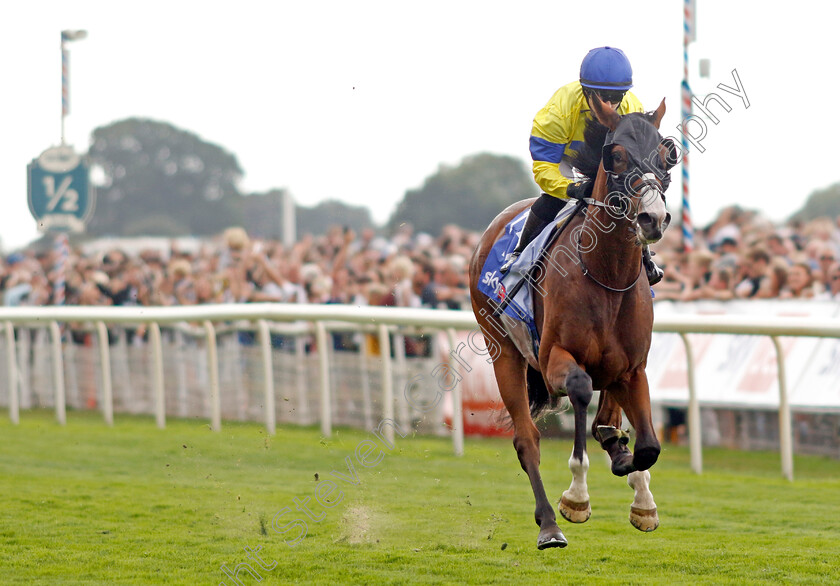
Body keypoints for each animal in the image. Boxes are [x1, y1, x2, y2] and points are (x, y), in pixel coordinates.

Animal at [466, 93, 676, 544]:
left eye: (666, 155)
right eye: (616, 156)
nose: (652, 218)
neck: (606, 274)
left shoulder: (633, 368)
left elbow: (648, 446)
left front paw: (640, 493)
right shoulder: (553, 359)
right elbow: (579, 390)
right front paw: (577, 497)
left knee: (605, 418)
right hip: (503, 349)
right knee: (527, 439)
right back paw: (549, 524)